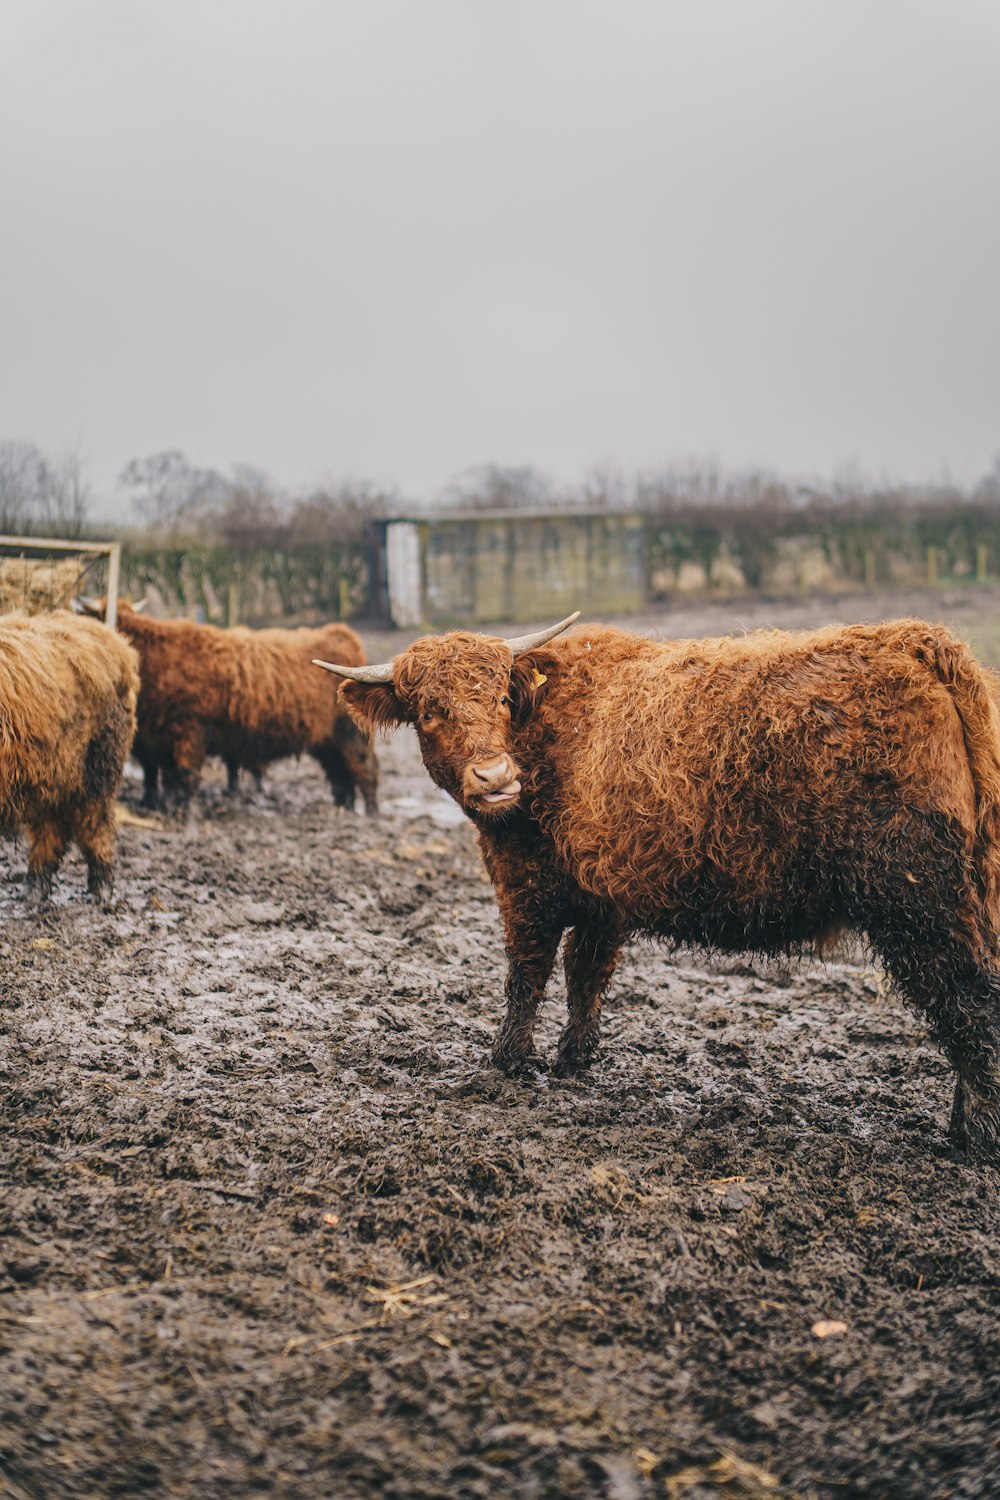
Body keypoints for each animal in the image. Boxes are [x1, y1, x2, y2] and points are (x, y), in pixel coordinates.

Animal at [0, 612, 138, 894]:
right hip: (52, 774)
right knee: (50, 829)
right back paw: (34, 889)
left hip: (99, 771)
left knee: (96, 826)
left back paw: (101, 891)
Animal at [107, 600, 377, 822]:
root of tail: (339, 633)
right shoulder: (153, 740)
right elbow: (159, 777)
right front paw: (155, 806)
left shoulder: (189, 733)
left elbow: (184, 776)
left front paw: (179, 814)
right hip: (327, 741)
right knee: (340, 773)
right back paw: (343, 807)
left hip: (350, 735)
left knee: (366, 768)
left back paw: (370, 812)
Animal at [316, 609, 1000, 1158]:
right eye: (430, 711)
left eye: (501, 702)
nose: (494, 777)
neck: (544, 731)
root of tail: (912, 640)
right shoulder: (600, 895)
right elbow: (585, 975)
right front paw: (573, 1061)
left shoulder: (525, 880)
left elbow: (526, 972)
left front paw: (506, 1064)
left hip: (918, 900)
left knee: (970, 1001)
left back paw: (976, 1140)